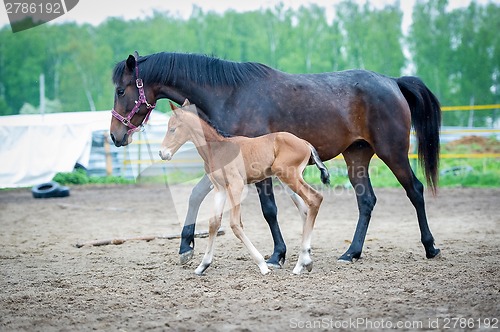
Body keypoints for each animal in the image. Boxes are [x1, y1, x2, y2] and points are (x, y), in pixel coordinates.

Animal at [159, 101, 328, 274]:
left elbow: (235, 224)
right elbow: (214, 223)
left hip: (288, 176)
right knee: (305, 210)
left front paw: (262, 265)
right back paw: (306, 260)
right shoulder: (220, 189)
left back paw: (301, 263)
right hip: (288, 179)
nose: (162, 153)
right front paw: (203, 265)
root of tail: (305, 142)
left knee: (315, 198)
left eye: (172, 129)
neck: (217, 149)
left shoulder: (236, 185)